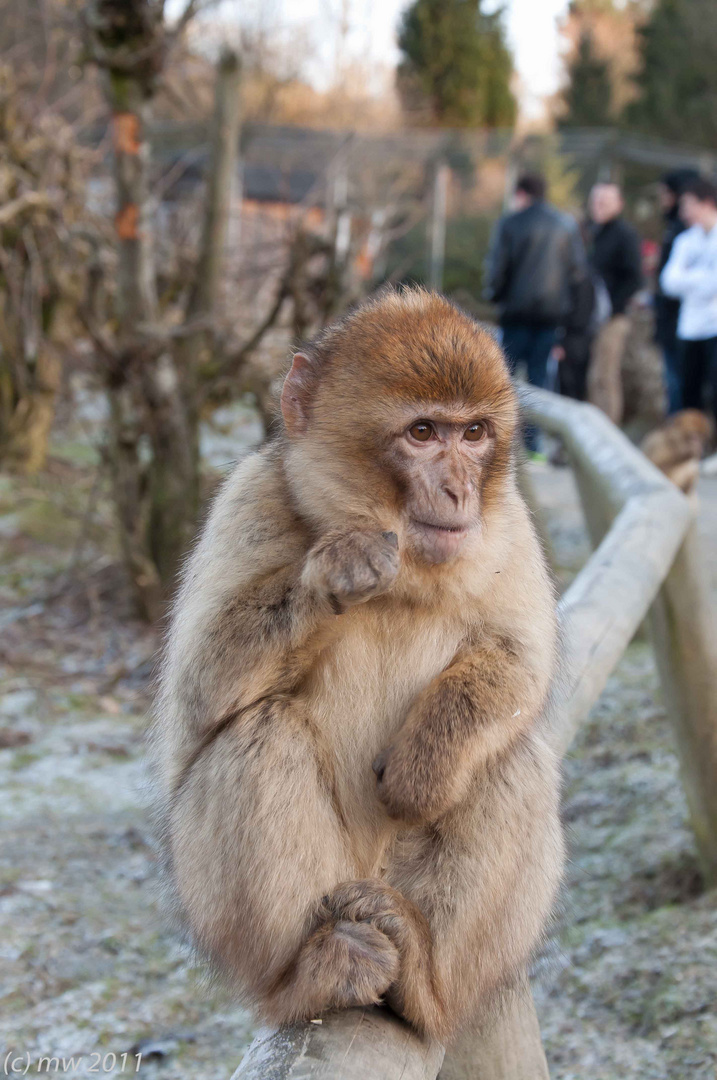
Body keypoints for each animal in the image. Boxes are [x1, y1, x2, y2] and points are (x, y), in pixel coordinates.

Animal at [152, 287, 565, 1054]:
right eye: (423, 432)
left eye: (474, 434)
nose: (459, 490)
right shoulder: (249, 496)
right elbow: (197, 694)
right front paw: (335, 571)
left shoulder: (508, 522)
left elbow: (521, 661)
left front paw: (423, 765)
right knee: (260, 732)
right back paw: (312, 974)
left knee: (512, 757)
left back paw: (425, 984)